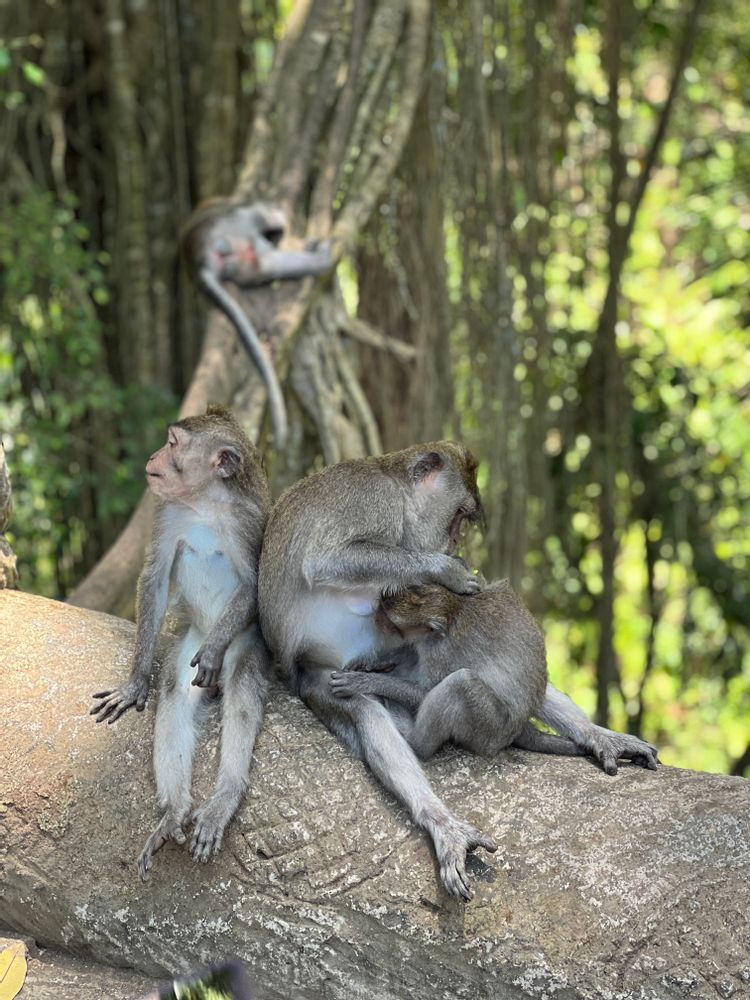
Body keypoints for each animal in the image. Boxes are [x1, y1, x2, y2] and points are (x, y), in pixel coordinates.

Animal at [91, 406, 271, 877]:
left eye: (173, 443)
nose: (155, 454)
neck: (204, 504)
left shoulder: (249, 525)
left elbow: (255, 587)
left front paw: (211, 655)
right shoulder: (168, 511)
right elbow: (154, 577)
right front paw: (136, 682)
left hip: (245, 647)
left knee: (242, 687)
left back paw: (224, 797)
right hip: (188, 645)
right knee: (174, 690)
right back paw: (175, 811)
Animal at [181, 200, 332, 449]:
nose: (274, 239)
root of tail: (200, 258)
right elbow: (273, 218)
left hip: (239, 258)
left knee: (263, 267)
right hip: (236, 232)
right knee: (266, 237)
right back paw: (321, 259)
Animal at [258, 444, 500, 901]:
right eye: (458, 515)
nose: (454, 541)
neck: (398, 487)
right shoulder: (376, 502)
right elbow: (327, 559)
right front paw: (445, 569)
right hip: (320, 673)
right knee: (363, 708)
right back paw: (439, 822)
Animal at [328, 582, 659, 775]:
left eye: (392, 622)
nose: (376, 616)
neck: (454, 609)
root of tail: (517, 728)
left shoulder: (440, 649)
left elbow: (427, 689)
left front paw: (366, 681)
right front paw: (371, 663)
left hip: (489, 729)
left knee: (461, 684)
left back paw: (413, 740)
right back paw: (597, 736)